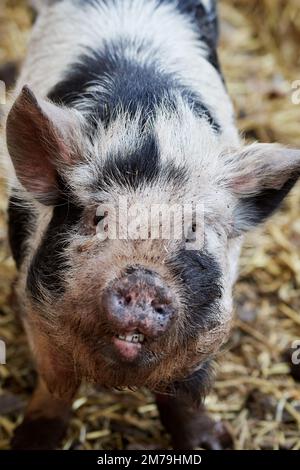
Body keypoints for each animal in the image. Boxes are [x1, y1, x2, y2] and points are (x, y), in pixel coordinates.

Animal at [1, 0, 300, 450]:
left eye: (193, 229)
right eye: (98, 218)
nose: (143, 281)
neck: (150, 123)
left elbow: (182, 393)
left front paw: (211, 444)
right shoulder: (35, 304)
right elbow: (55, 387)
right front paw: (29, 442)